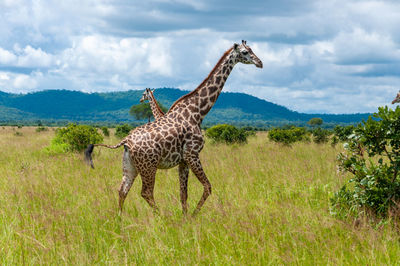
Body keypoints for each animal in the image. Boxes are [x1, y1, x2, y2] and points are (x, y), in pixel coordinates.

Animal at [85, 40, 262, 216]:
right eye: (245, 52)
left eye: (252, 49)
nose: (260, 63)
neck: (198, 112)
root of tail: (126, 141)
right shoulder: (192, 154)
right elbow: (207, 187)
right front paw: (193, 216)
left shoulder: (183, 160)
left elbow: (183, 193)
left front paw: (185, 218)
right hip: (149, 166)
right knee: (146, 192)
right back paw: (162, 216)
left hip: (130, 166)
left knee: (123, 190)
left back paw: (120, 218)